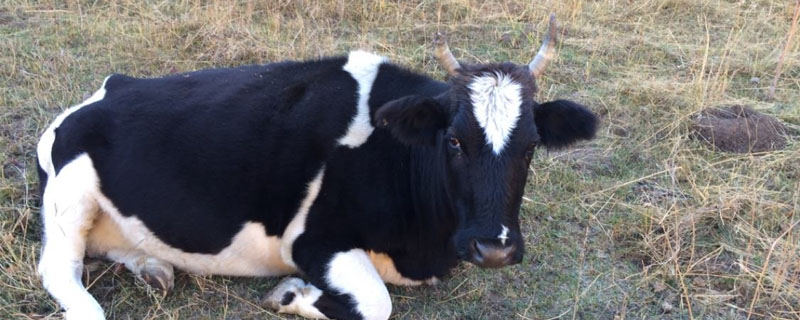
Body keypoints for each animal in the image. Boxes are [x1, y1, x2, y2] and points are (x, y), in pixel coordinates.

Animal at [39, 15, 592, 320]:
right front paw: (290, 294)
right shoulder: (311, 240)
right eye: (453, 141)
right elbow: (376, 304)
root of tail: (110, 87)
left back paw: (153, 268)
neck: (423, 247)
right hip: (71, 197)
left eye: (531, 146)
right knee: (60, 267)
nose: (493, 249)